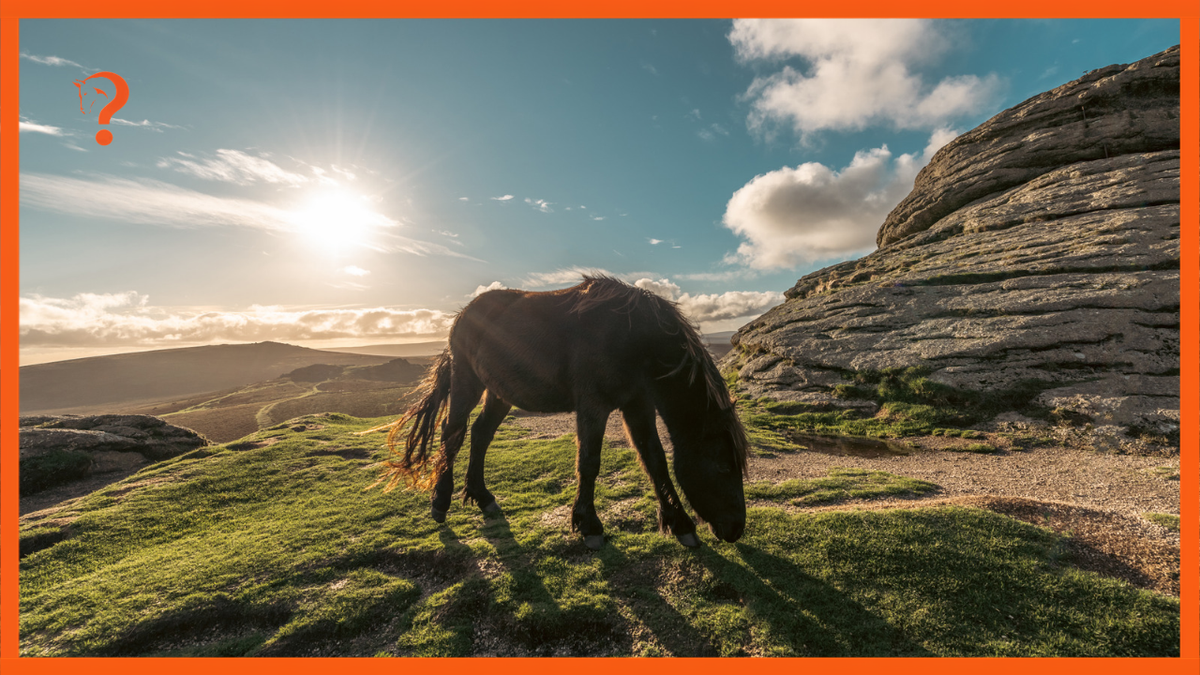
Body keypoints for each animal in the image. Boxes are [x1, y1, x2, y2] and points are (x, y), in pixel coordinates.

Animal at [375, 275, 748, 549]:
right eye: (723, 465)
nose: (736, 530)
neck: (632, 336)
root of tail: (463, 314)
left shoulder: (637, 404)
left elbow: (654, 460)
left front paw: (680, 523)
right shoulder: (593, 405)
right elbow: (589, 462)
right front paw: (589, 525)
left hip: (499, 392)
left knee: (480, 435)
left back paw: (483, 497)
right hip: (467, 380)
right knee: (453, 434)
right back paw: (440, 502)